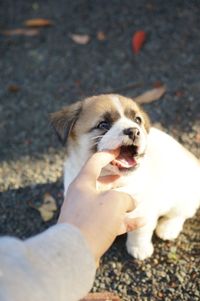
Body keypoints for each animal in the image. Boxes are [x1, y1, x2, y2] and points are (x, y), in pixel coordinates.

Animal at [51, 94, 200, 258]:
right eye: (103, 124)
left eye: (137, 120)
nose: (134, 131)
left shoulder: (143, 212)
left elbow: (140, 232)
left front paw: (139, 248)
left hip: (182, 197)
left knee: (181, 214)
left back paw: (168, 228)